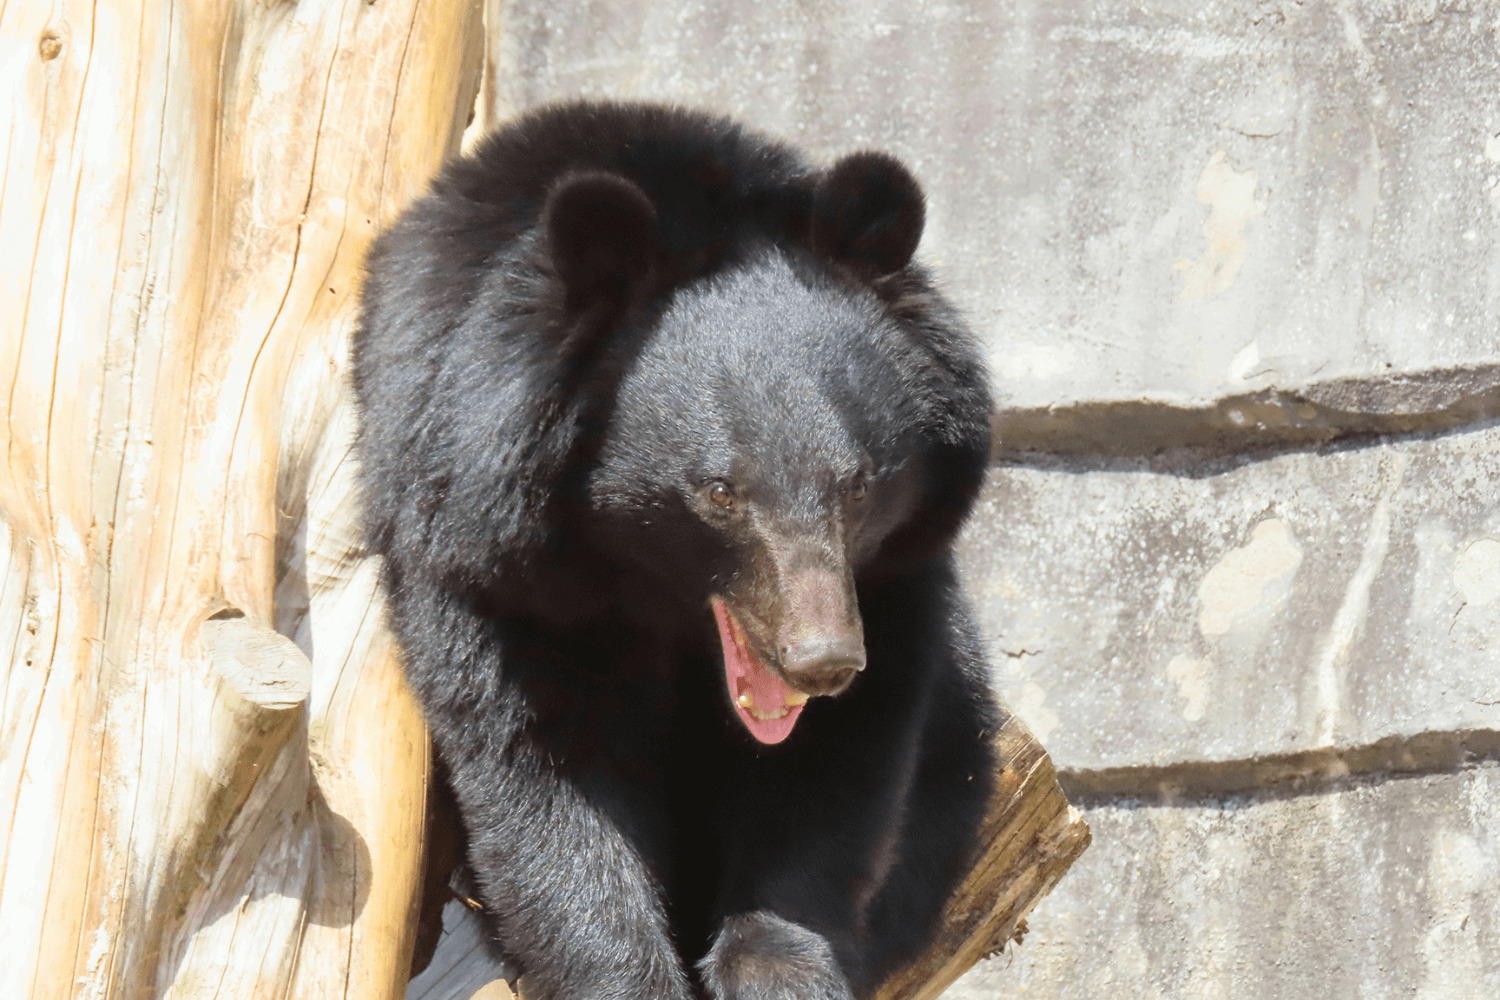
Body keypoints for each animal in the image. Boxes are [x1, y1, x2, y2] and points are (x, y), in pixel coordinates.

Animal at [349, 103, 996, 1000]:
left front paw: (779, 968)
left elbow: (838, 764)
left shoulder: (893, 576)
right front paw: (625, 974)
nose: (821, 661)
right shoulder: (486, 560)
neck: (650, 596)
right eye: (720, 492)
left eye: (858, 484)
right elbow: (541, 770)